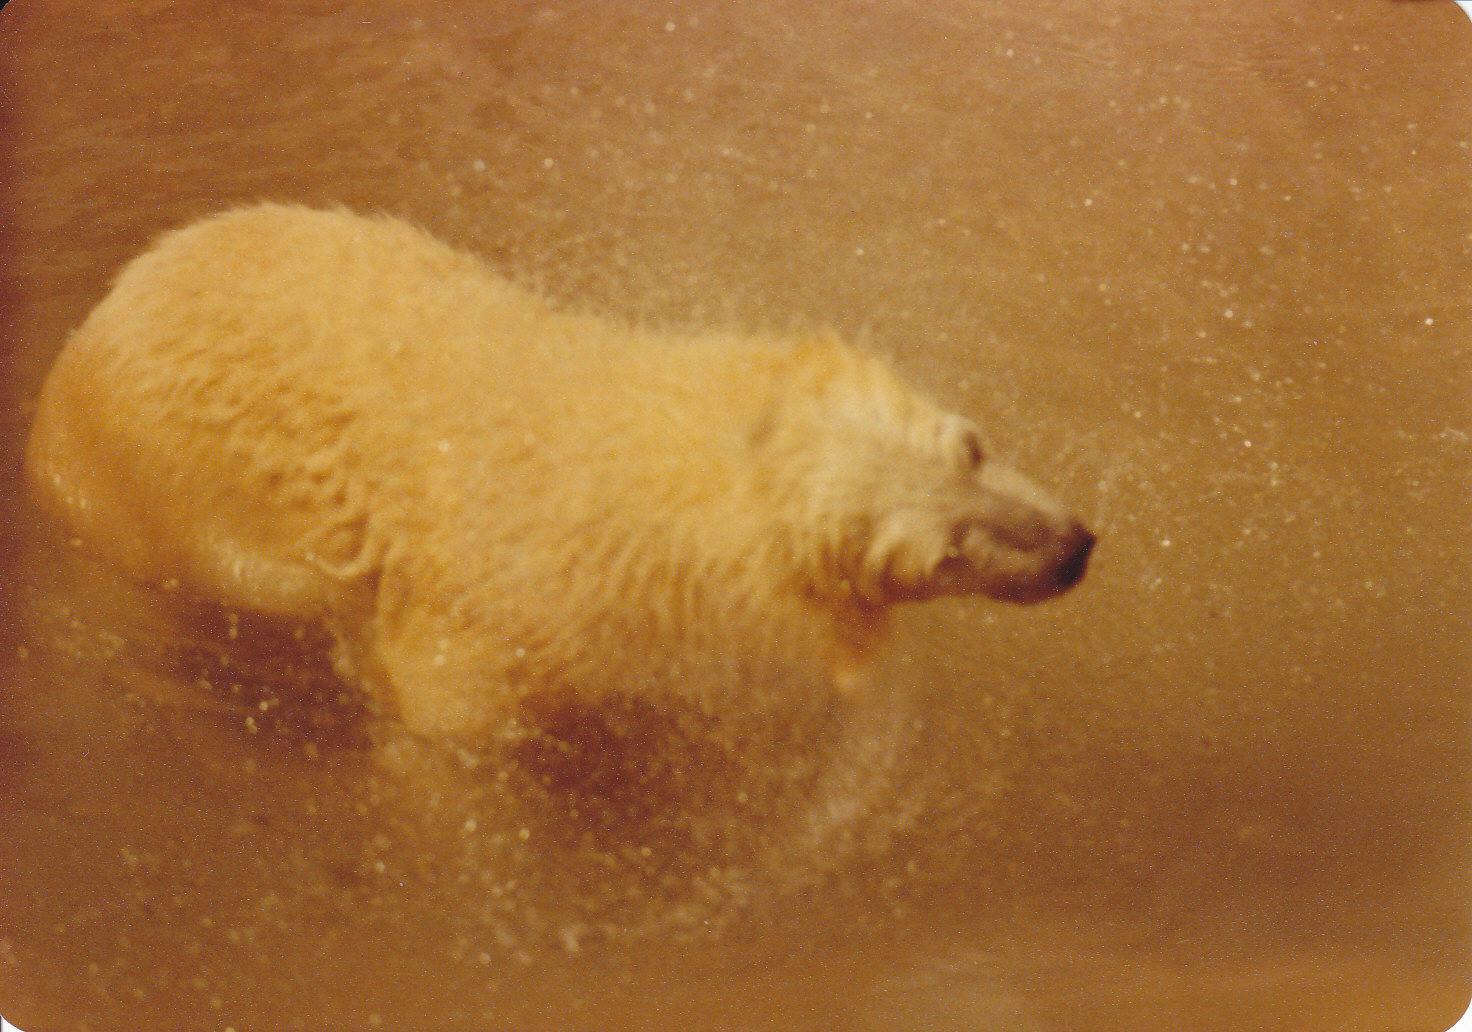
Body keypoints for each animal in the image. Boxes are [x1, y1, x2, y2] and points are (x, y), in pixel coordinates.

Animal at [25, 204, 1094, 744]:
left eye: (971, 446)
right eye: (934, 554)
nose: (1076, 549)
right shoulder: (482, 640)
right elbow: (445, 712)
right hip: (150, 496)